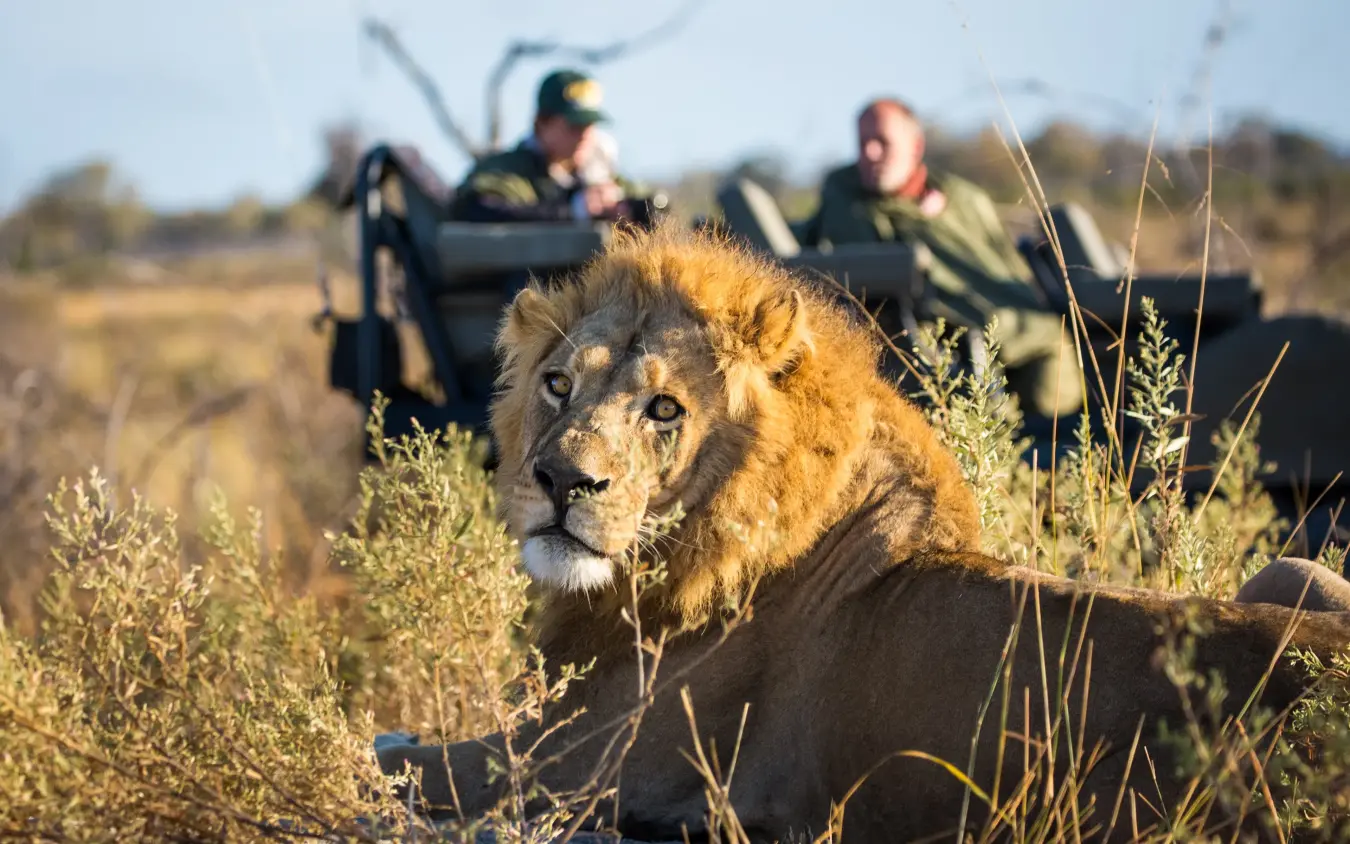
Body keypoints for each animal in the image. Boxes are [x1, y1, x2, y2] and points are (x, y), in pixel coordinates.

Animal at [378, 220, 1350, 842]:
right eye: (556, 385)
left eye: (664, 409)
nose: (561, 481)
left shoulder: (588, 765)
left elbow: (397, 756)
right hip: (1296, 571)